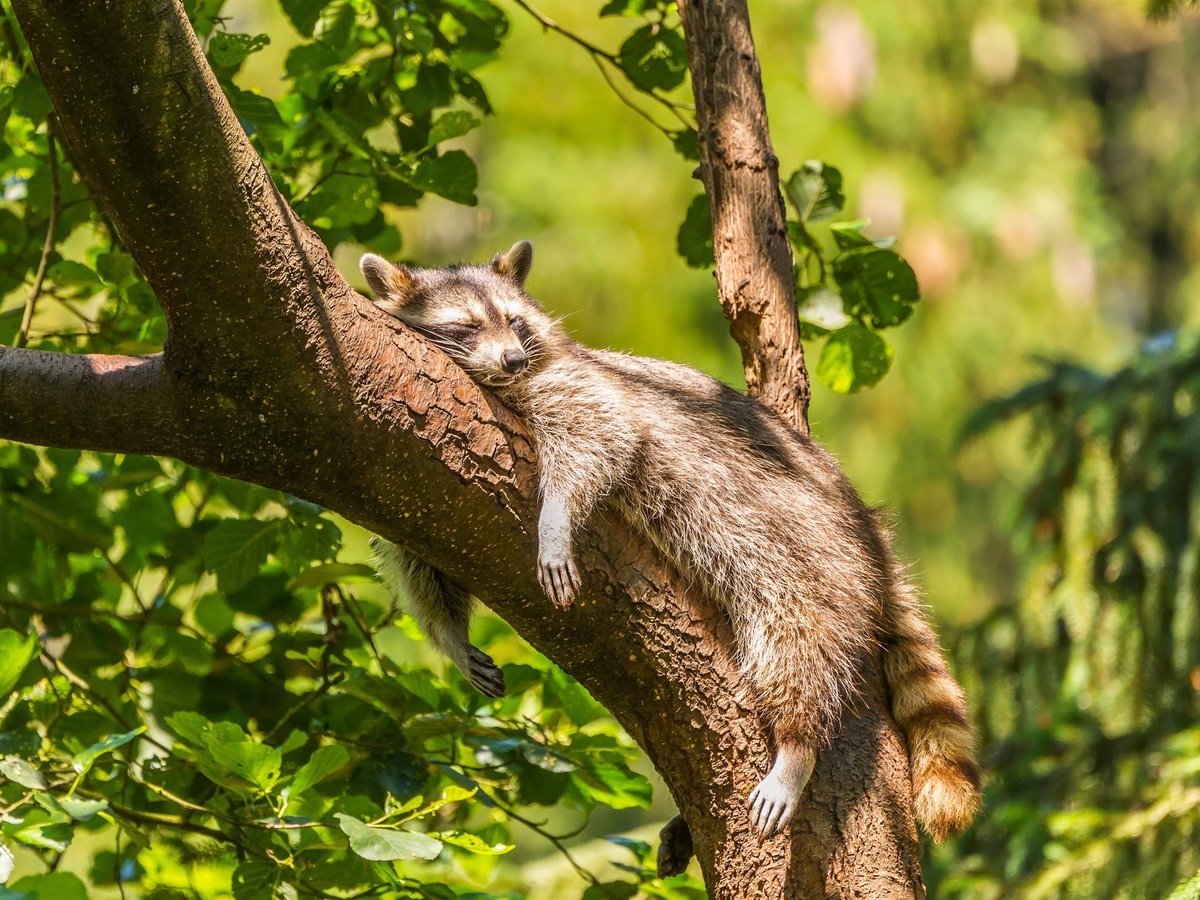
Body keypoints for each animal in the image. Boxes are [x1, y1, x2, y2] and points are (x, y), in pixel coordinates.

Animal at [360, 241, 981, 847]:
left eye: (514, 322)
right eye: (465, 327)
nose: (513, 359)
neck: (503, 379)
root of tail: (863, 520)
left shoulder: (576, 384)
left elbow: (602, 435)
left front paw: (555, 520)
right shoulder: (410, 471)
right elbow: (418, 555)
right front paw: (449, 635)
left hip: (809, 547)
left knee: (797, 633)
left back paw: (798, 741)